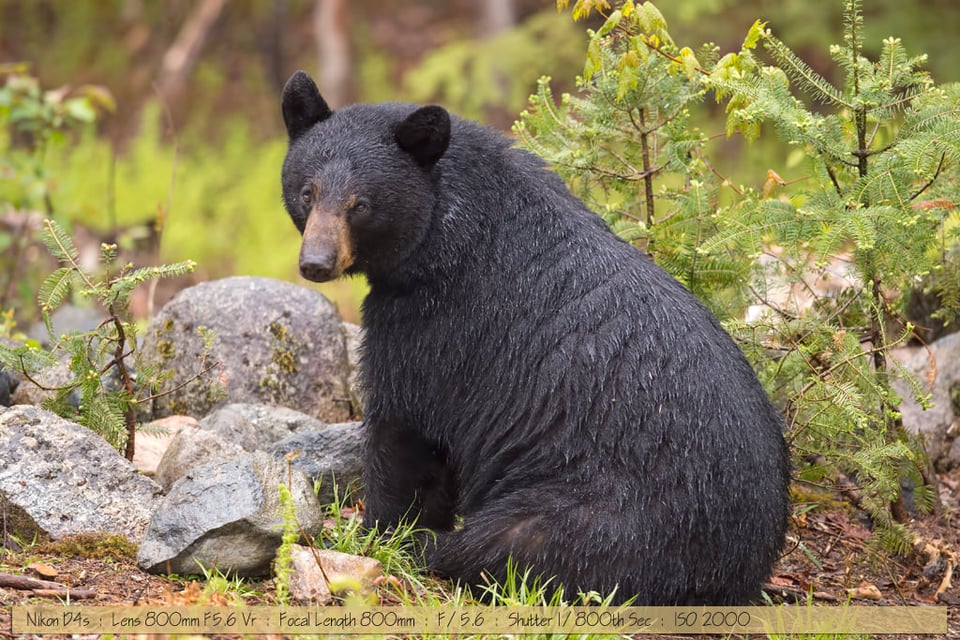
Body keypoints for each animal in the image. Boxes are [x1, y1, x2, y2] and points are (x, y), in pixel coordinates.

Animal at [278, 71, 788, 604]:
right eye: (308, 191)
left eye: (360, 205)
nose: (316, 263)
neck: (445, 226)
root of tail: (735, 571)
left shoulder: (438, 321)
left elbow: (406, 424)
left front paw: (379, 531)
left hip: (600, 514)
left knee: (506, 542)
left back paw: (436, 548)